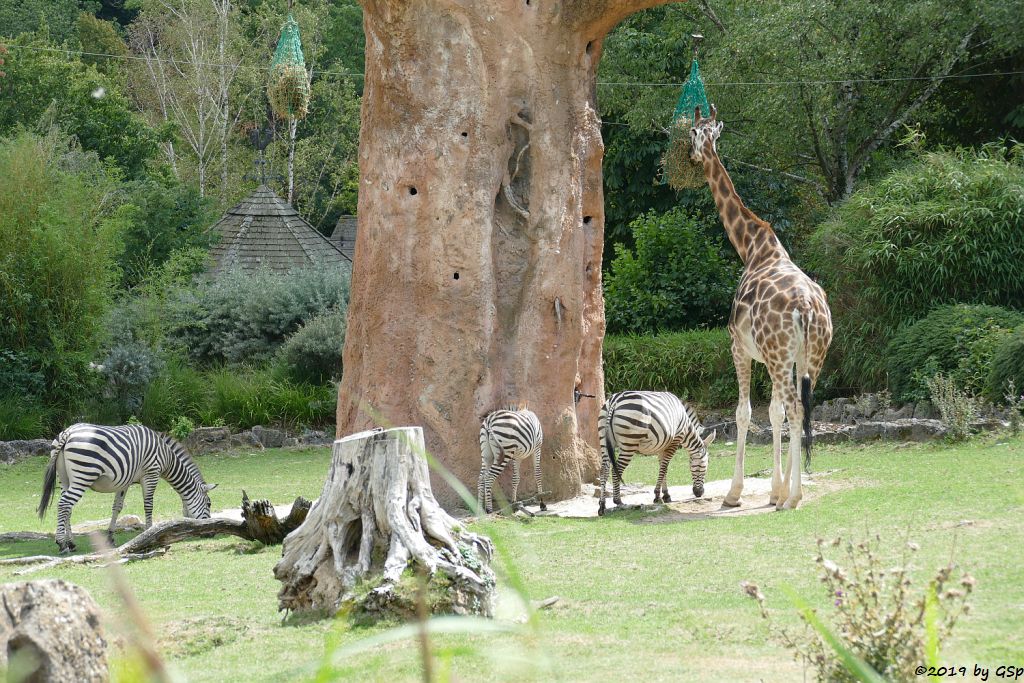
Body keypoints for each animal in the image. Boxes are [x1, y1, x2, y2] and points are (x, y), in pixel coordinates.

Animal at [37, 421, 216, 557]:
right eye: (209, 504)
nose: (212, 533)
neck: (167, 458)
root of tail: (68, 432)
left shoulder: (124, 482)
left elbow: (117, 507)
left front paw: (110, 538)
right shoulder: (151, 473)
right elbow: (148, 505)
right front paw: (150, 533)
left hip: (64, 478)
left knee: (67, 508)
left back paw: (71, 543)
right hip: (84, 474)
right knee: (64, 504)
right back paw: (62, 544)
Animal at [688, 107, 831, 509]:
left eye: (691, 134)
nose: (692, 157)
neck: (751, 247)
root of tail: (807, 307)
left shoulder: (740, 348)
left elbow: (745, 413)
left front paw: (735, 493)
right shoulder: (778, 359)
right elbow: (773, 412)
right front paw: (773, 490)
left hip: (781, 355)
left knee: (796, 409)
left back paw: (794, 498)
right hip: (812, 357)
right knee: (801, 407)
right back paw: (790, 494)